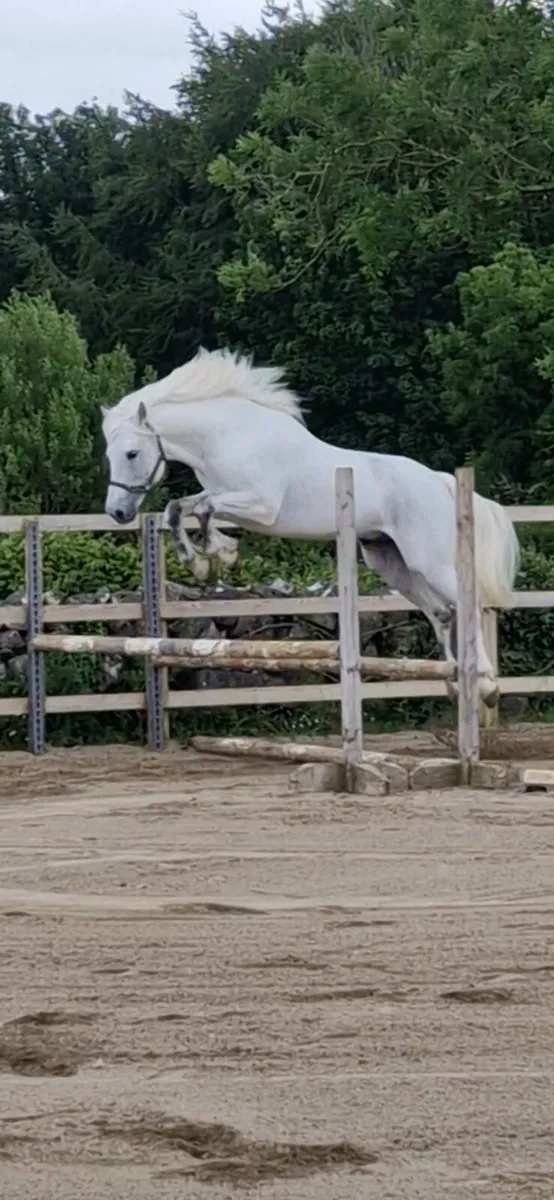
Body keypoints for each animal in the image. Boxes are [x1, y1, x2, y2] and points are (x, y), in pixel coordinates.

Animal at [102, 346, 520, 707]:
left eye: (131, 453)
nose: (117, 512)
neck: (227, 436)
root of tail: (440, 481)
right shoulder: (230, 499)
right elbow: (180, 510)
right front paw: (206, 561)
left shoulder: (261, 506)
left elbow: (202, 510)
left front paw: (218, 555)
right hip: (391, 563)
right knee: (441, 612)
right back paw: (453, 681)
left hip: (428, 560)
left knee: (466, 603)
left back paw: (485, 684)